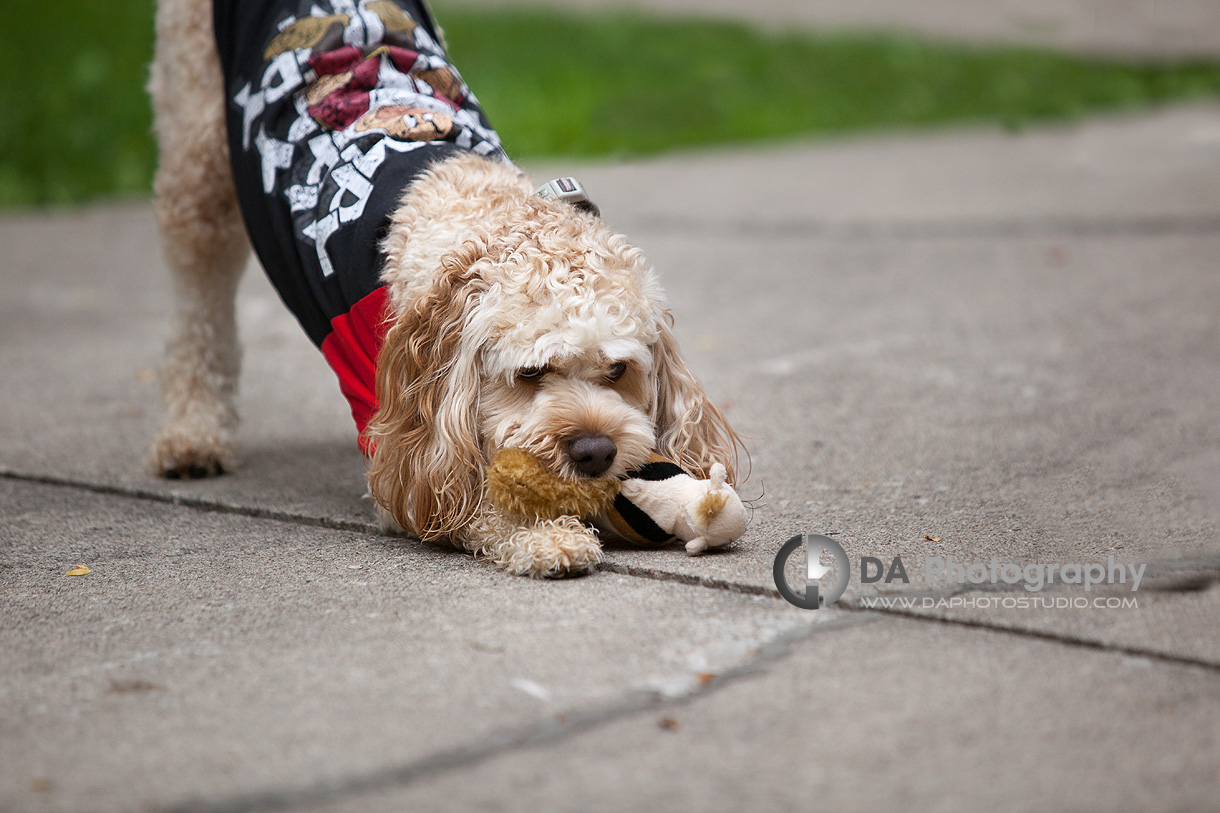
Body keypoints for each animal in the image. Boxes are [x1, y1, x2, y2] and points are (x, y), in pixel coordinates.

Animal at [152, 0, 741, 576]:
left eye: (618, 371)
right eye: (530, 373)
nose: (595, 452)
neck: (473, 214)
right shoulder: (404, 439)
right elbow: (460, 501)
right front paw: (542, 536)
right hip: (198, 161)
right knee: (197, 304)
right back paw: (193, 435)